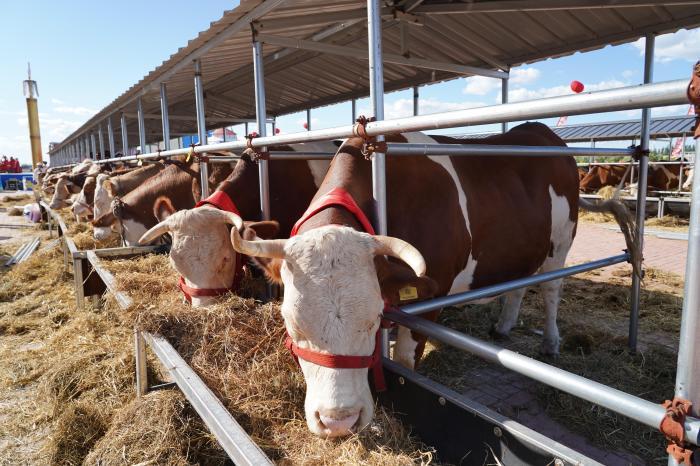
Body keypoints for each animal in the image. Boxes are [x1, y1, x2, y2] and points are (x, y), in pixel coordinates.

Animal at [230, 123, 640, 436]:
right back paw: (503, 326)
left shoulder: (430, 295)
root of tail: (542, 133)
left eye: (373, 321)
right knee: (518, 287)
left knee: (552, 289)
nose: (338, 422)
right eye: (291, 325)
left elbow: (405, 360)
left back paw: (551, 342)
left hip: (561, 243)